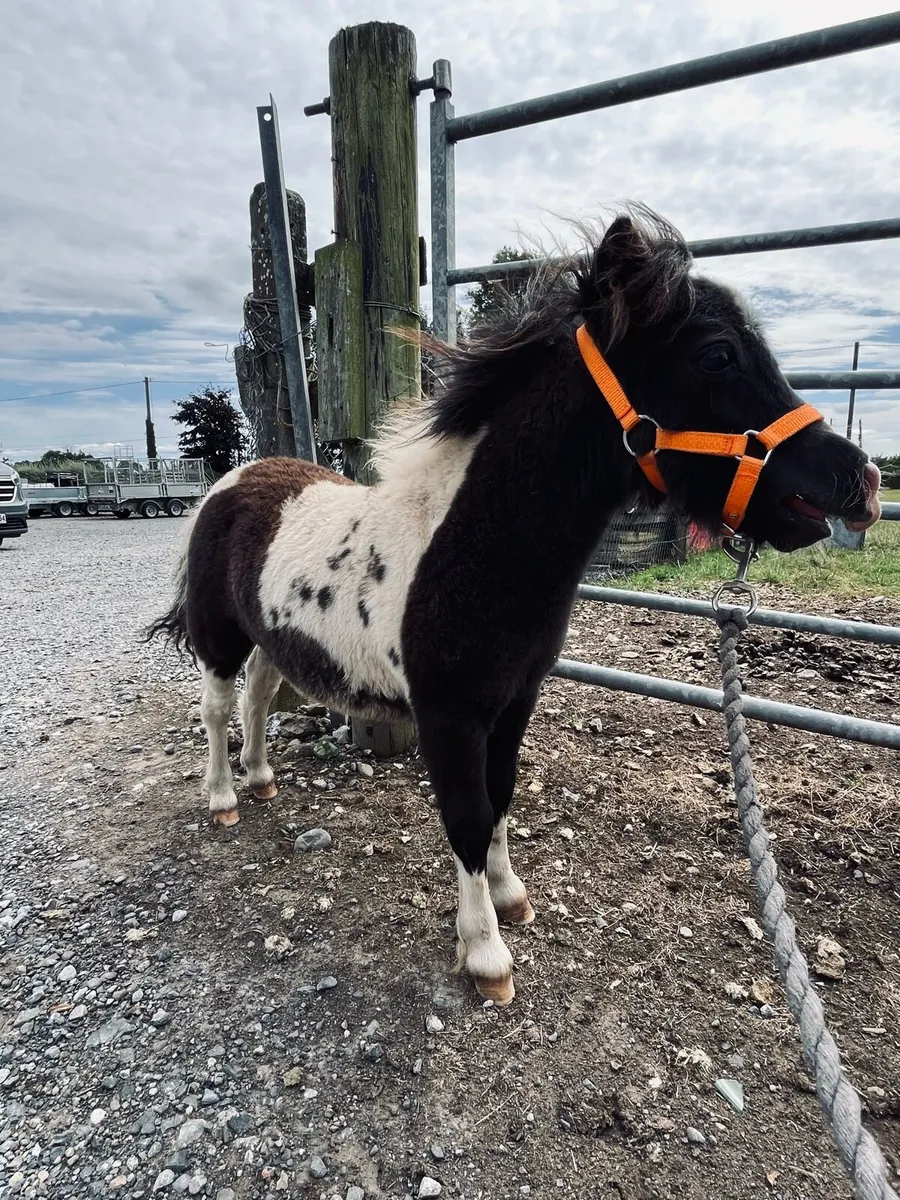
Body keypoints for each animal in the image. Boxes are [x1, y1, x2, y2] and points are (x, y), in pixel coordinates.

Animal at [147, 207, 881, 1005]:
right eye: (717, 355)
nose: (862, 479)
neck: (471, 547)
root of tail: (231, 479)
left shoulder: (514, 700)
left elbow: (500, 797)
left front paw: (510, 897)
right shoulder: (449, 714)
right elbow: (467, 818)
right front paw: (485, 954)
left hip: (269, 636)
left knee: (257, 699)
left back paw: (261, 780)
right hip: (219, 634)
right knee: (218, 708)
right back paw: (223, 796)